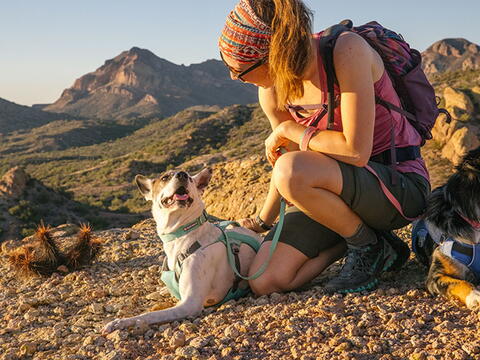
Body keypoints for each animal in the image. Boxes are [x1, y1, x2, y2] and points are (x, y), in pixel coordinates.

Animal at [99, 167, 260, 334]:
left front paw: (121, 322)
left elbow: (150, 314)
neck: (182, 235)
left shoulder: (190, 304)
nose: (182, 175)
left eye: (189, 178)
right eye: (165, 177)